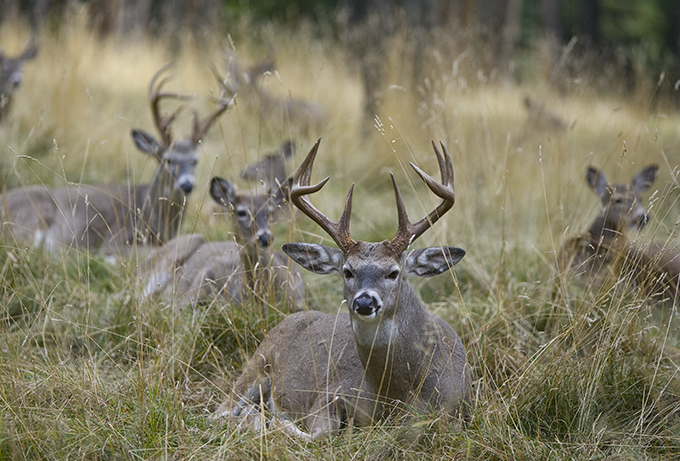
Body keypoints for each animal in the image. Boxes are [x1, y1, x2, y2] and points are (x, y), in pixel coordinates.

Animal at [215, 139, 470, 438]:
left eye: (393, 272)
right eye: (347, 271)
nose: (364, 302)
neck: (399, 391)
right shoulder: (330, 392)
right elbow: (319, 434)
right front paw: (270, 421)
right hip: (255, 364)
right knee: (218, 411)